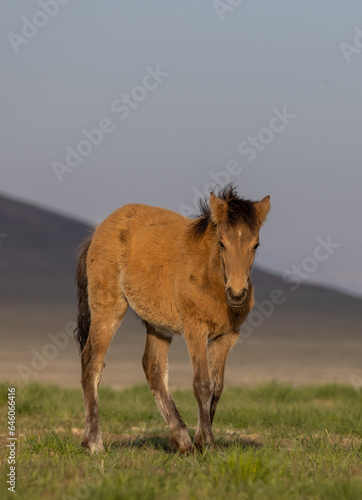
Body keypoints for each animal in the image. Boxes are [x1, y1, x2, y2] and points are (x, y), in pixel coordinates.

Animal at [75, 184, 270, 454]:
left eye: (256, 245)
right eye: (222, 243)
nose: (237, 294)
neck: (210, 275)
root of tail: (96, 233)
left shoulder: (226, 336)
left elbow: (217, 387)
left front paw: (200, 440)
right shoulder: (195, 329)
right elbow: (202, 384)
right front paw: (208, 445)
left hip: (158, 324)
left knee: (153, 368)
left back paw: (182, 441)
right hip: (108, 308)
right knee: (92, 363)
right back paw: (94, 442)